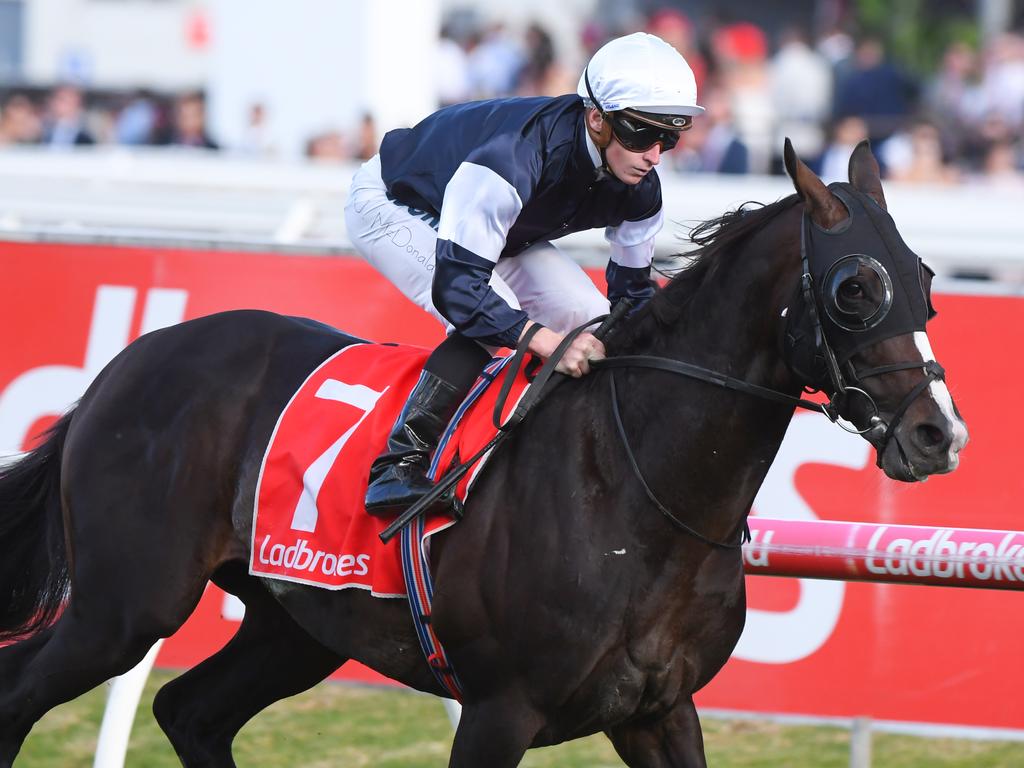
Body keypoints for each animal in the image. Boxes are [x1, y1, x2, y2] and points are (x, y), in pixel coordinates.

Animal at [0, 143, 962, 765]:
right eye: (853, 288)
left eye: (924, 278)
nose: (938, 433)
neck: (637, 494)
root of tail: (128, 363)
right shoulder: (500, 709)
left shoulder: (659, 709)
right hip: (124, 606)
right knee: (28, 690)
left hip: (294, 622)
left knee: (190, 712)